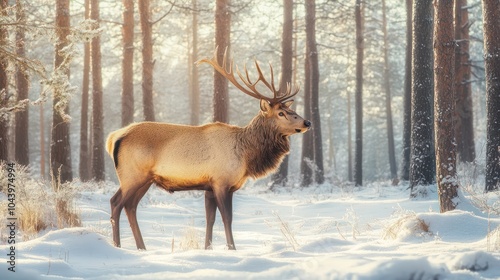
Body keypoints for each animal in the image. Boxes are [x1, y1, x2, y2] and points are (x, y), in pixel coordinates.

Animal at [107, 49, 310, 250]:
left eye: (290, 110)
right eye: (281, 113)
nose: (307, 122)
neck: (246, 156)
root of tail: (114, 138)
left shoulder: (210, 186)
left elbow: (210, 219)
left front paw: (208, 248)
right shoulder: (221, 182)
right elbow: (227, 218)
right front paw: (232, 248)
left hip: (145, 179)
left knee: (130, 206)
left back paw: (142, 247)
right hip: (132, 175)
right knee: (116, 203)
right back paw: (117, 245)